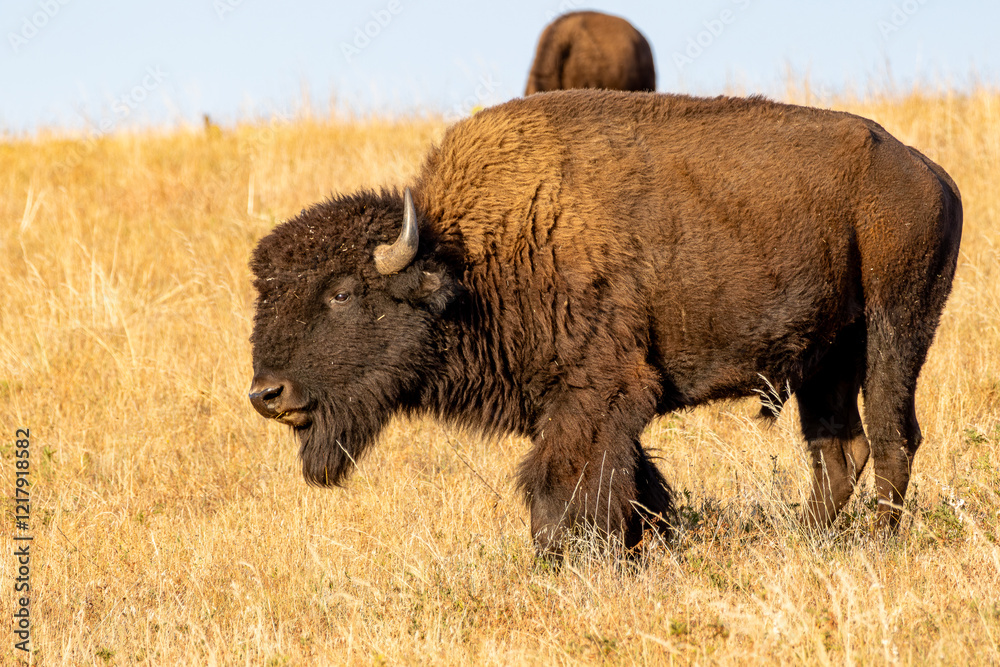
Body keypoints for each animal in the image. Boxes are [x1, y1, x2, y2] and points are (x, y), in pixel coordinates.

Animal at [249, 90, 962, 558]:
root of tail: (930, 174)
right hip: (825, 358)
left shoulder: (598, 394)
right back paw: (806, 542)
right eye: (265, 296)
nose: (266, 394)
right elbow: (635, 482)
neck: (467, 258)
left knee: (893, 438)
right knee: (840, 450)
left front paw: (573, 561)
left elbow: (566, 485)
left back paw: (879, 544)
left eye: (342, 293)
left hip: (896, 329)